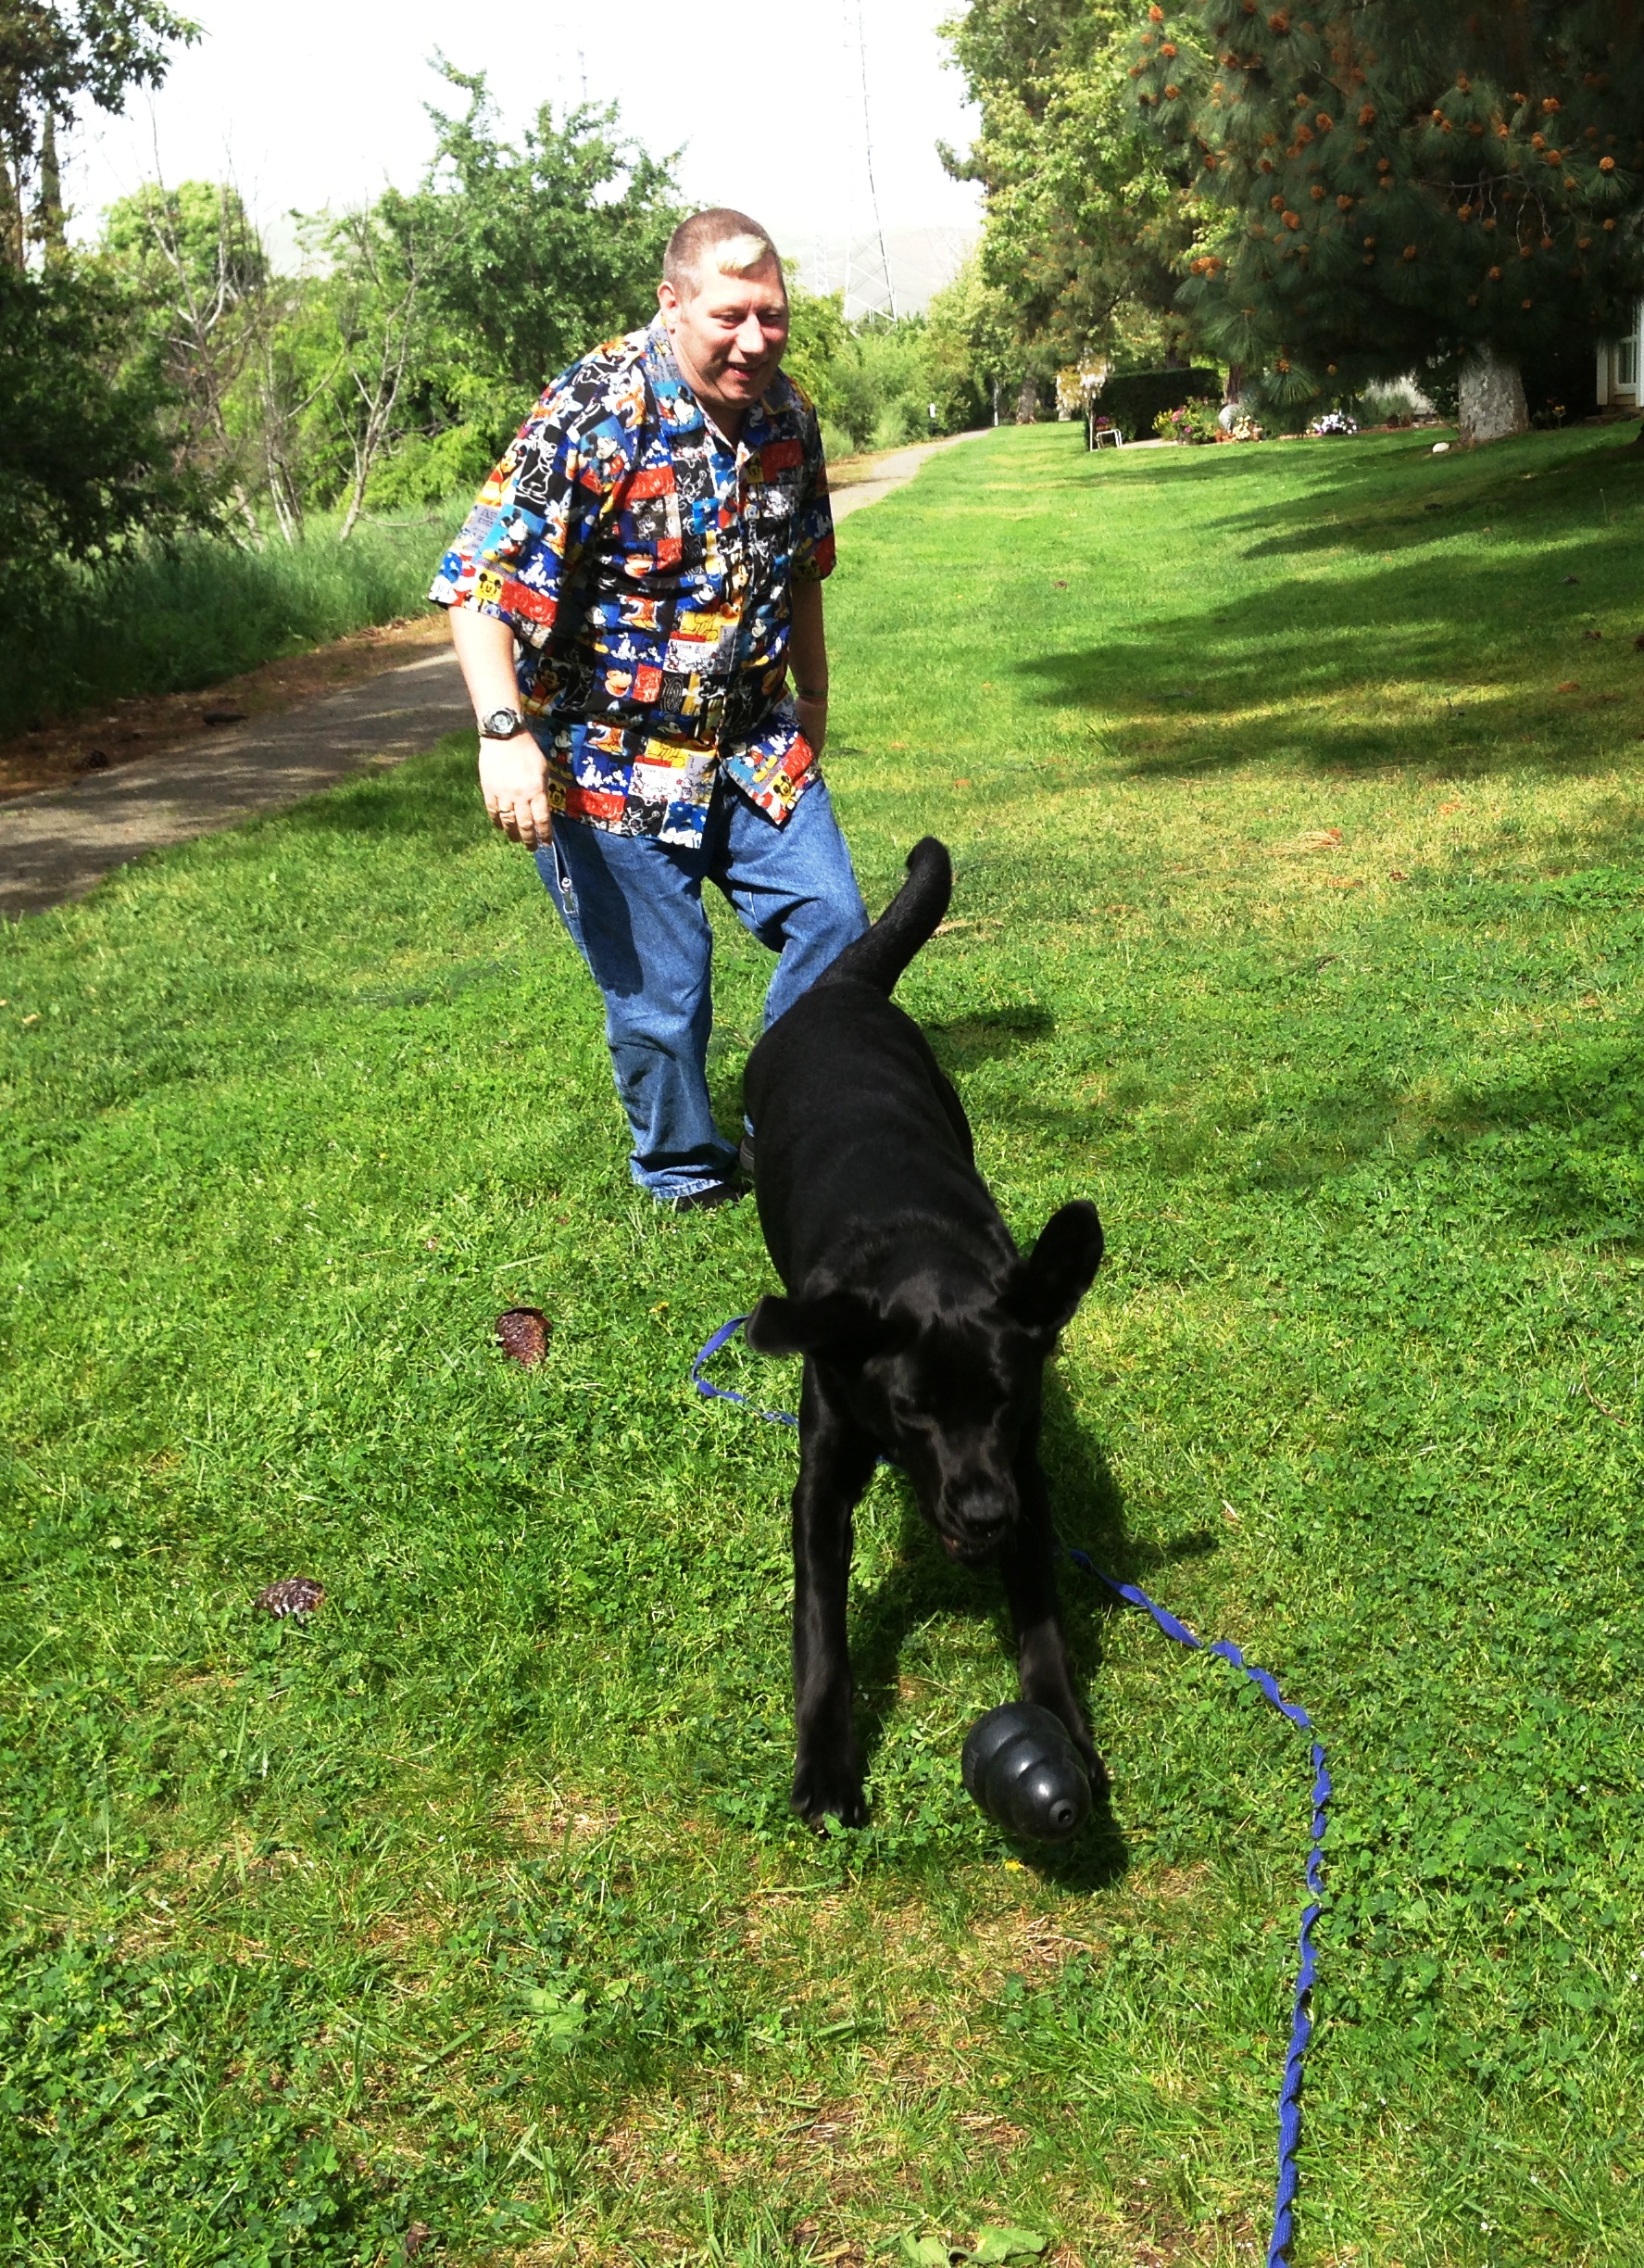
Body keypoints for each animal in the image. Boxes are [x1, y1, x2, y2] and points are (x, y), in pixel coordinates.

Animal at [744, 834, 1101, 1823]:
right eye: (912, 1413)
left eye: (1006, 1402)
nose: (981, 1514)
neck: (916, 1253)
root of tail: (837, 989)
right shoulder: (821, 1482)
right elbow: (821, 1633)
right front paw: (825, 1767)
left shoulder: (1026, 1473)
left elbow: (1042, 1618)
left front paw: (1065, 1730)